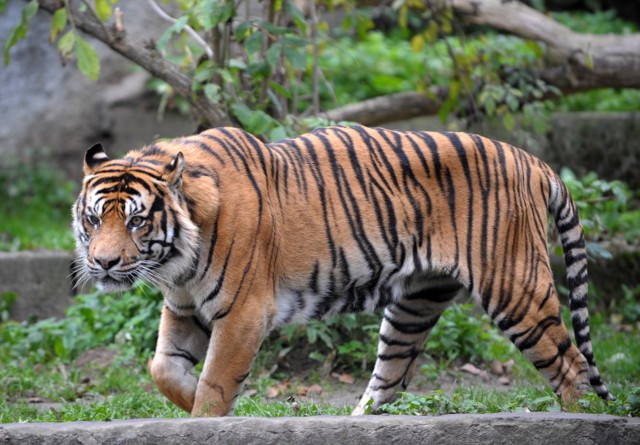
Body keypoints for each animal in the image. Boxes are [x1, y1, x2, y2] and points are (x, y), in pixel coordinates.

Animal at [71, 123, 616, 414]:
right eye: (94, 219)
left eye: (137, 221)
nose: (104, 262)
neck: (176, 259)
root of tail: (533, 161)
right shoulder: (184, 307)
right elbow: (163, 367)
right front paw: (191, 401)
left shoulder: (243, 312)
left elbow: (217, 382)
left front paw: (209, 414)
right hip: (414, 305)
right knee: (390, 380)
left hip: (515, 287)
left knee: (570, 367)